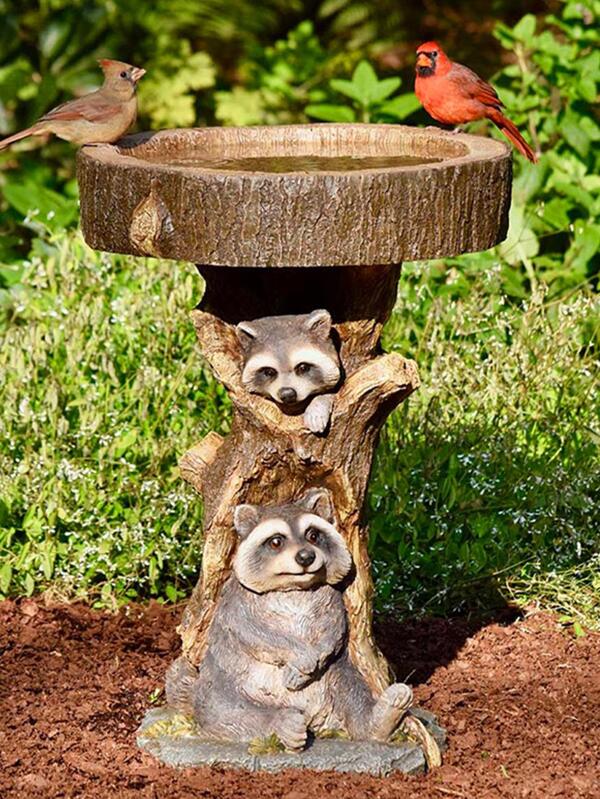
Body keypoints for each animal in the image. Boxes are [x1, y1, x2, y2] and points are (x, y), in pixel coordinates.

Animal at [167, 489, 413, 751]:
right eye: (276, 541)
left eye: (313, 535)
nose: (306, 557)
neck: (293, 587)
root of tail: (316, 719)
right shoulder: (237, 599)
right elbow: (253, 632)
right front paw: (300, 656)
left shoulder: (330, 596)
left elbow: (334, 628)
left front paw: (315, 655)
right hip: (218, 684)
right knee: (224, 710)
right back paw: (282, 723)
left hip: (338, 675)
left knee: (351, 690)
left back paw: (380, 718)